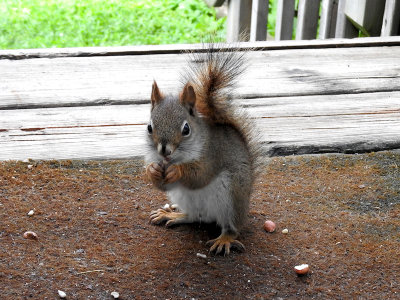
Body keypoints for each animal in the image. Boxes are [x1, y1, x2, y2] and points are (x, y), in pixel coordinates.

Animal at [144, 42, 260, 255]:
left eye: (186, 129)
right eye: (149, 127)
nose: (164, 151)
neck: (178, 157)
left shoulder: (212, 153)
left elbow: (201, 176)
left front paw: (178, 171)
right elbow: (162, 184)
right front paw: (152, 170)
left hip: (231, 197)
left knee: (231, 227)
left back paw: (224, 239)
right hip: (184, 198)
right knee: (193, 217)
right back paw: (174, 216)